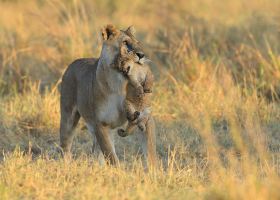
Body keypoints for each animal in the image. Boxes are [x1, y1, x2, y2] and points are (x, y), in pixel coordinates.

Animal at [59, 24, 155, 166]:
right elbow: (111, 156)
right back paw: (67, 166)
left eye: (138, 43)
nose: (142, 55)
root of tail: (73, 63)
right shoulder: (101, 124)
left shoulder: (146, 118)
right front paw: (119, 171)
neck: (120, 84)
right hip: (68, 118)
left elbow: (151, 153)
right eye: (125, 42)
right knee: (65, 146)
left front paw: (155, 171)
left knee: (96, 151)